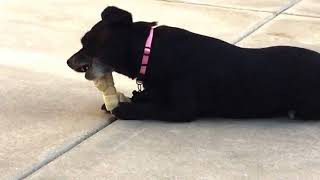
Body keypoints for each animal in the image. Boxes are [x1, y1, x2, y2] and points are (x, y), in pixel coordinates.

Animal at [67, 6, 320, 122]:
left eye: (86, 43)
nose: (68, 62)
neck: (149, 51)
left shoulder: (181, 109)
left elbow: (151, 108)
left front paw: (123, 108)